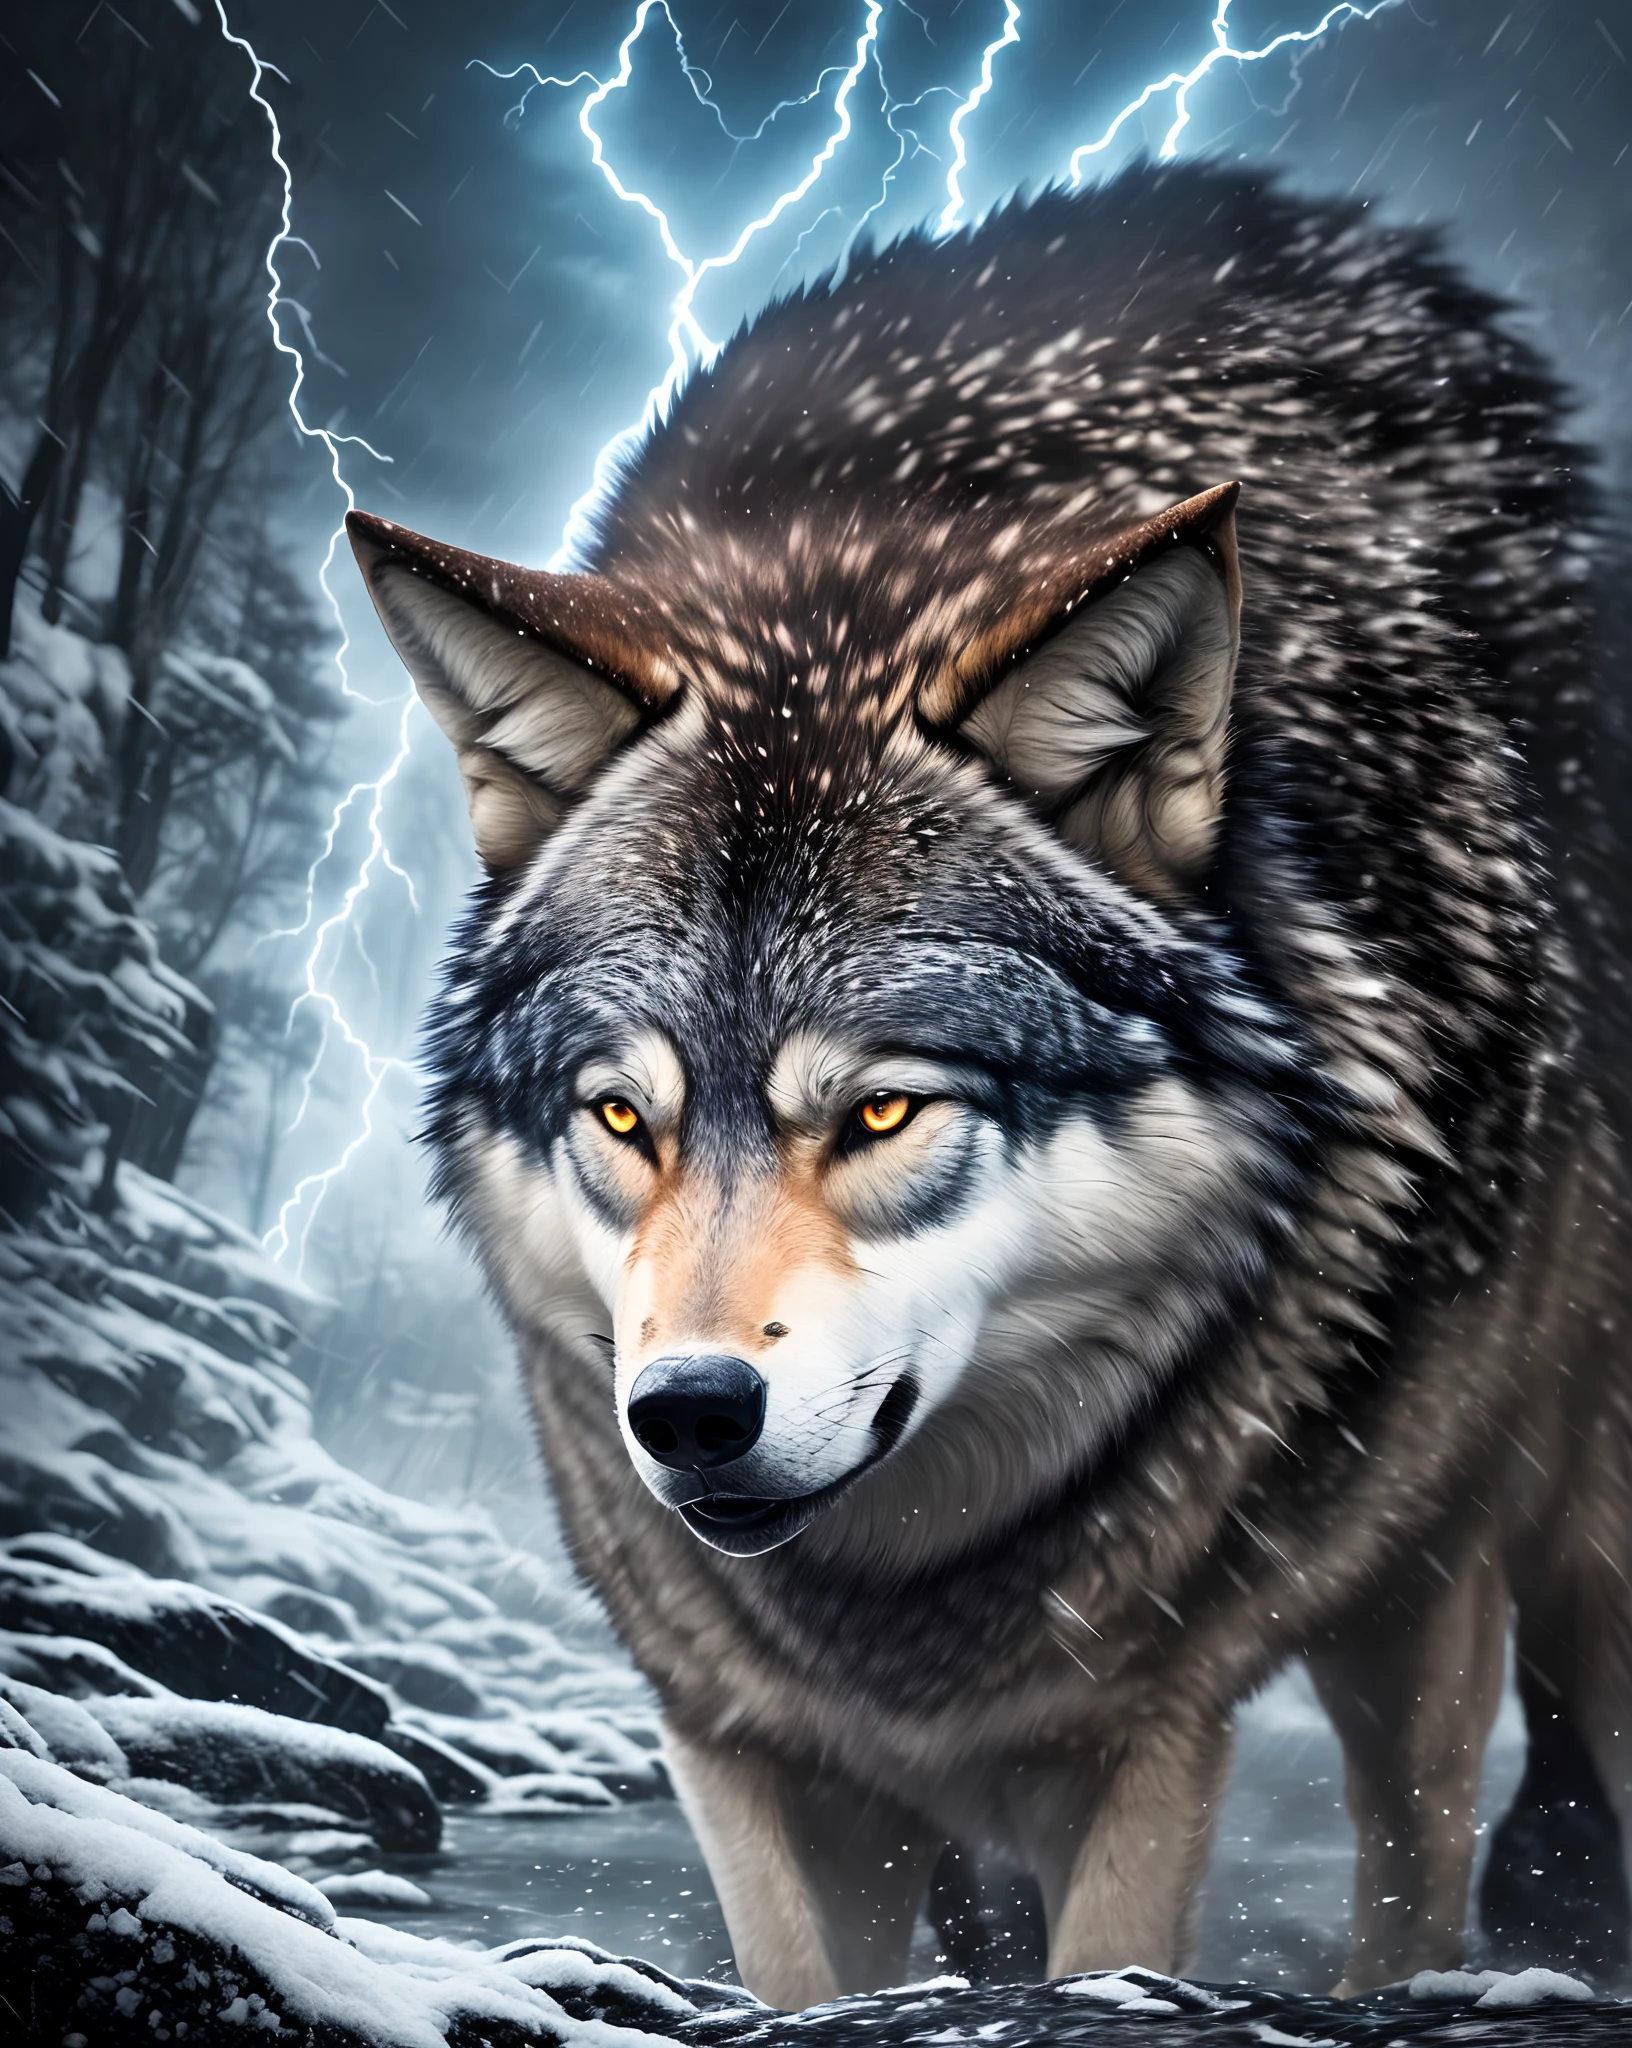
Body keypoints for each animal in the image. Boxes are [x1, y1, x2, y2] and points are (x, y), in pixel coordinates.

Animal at [348, 164, 1632, 2006]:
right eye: (621, 1117)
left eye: (882, 1111)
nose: (687, 1414)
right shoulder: (742, 1742)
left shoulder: (1172, 1718)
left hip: (1502, 1533)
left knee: (1449, 1816)